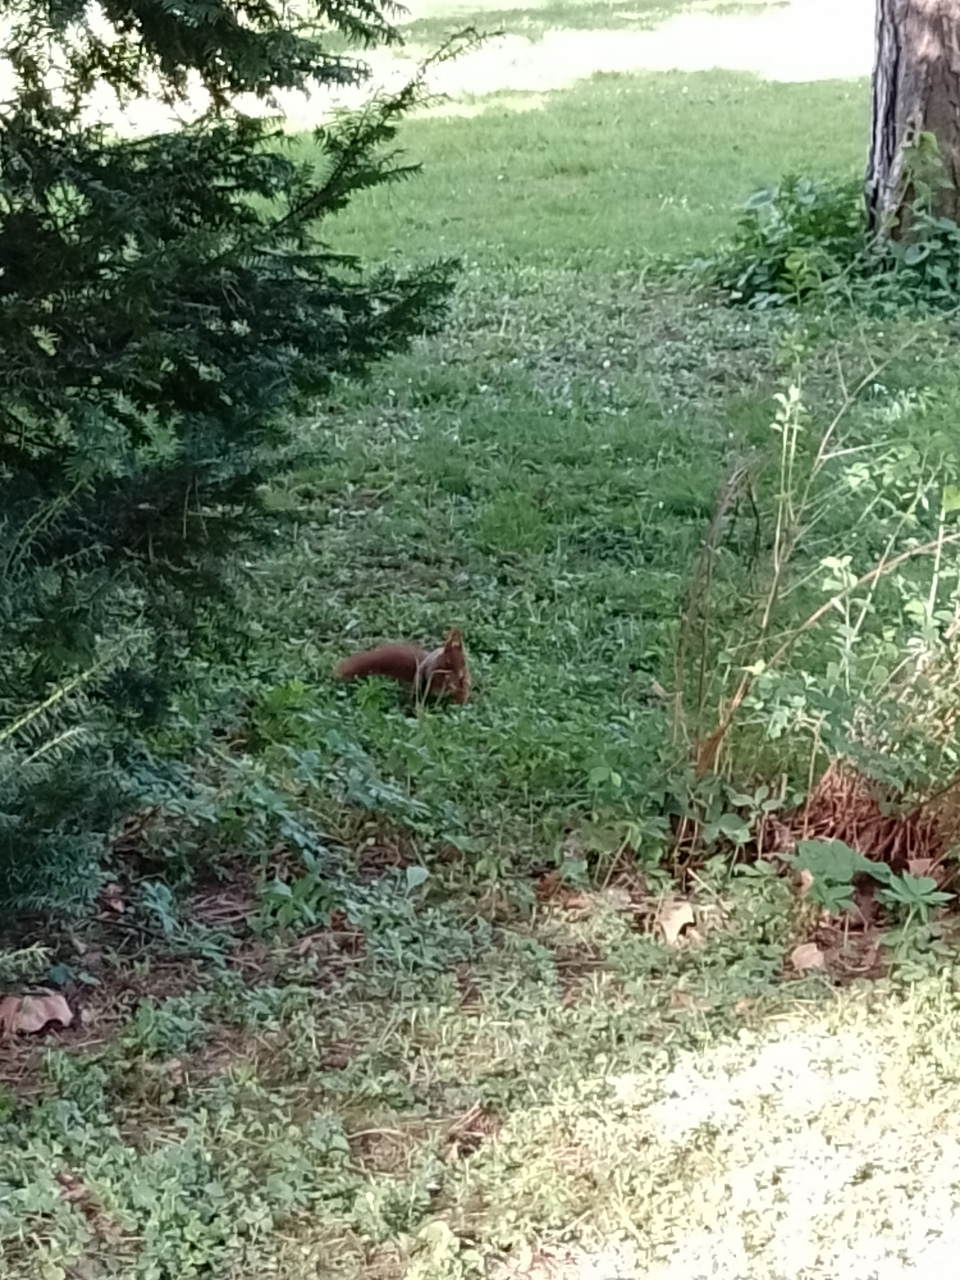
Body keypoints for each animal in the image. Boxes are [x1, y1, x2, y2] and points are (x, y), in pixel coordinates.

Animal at [334, 627, 471, 705]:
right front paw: (449, 683)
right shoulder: (432, 669)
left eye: (464, 661)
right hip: (420, 689)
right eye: (447, 661)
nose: (460, 674)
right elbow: (437, 680)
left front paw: (457, 683)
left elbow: (462, 684)